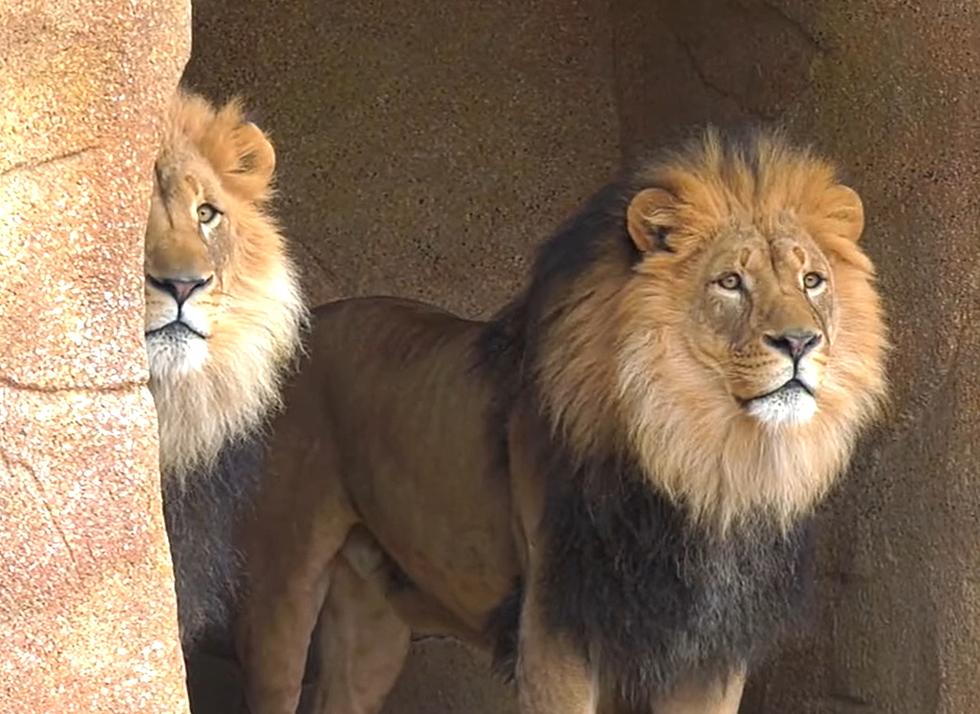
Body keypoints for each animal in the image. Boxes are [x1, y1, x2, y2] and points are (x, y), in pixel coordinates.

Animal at [235, 129, 888, 712]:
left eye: (812, 281)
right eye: (730, 282)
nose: (801, 342)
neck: (705, 457)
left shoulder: (710, 647)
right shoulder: (556, 627)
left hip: (374, 621)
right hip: (284, 578)